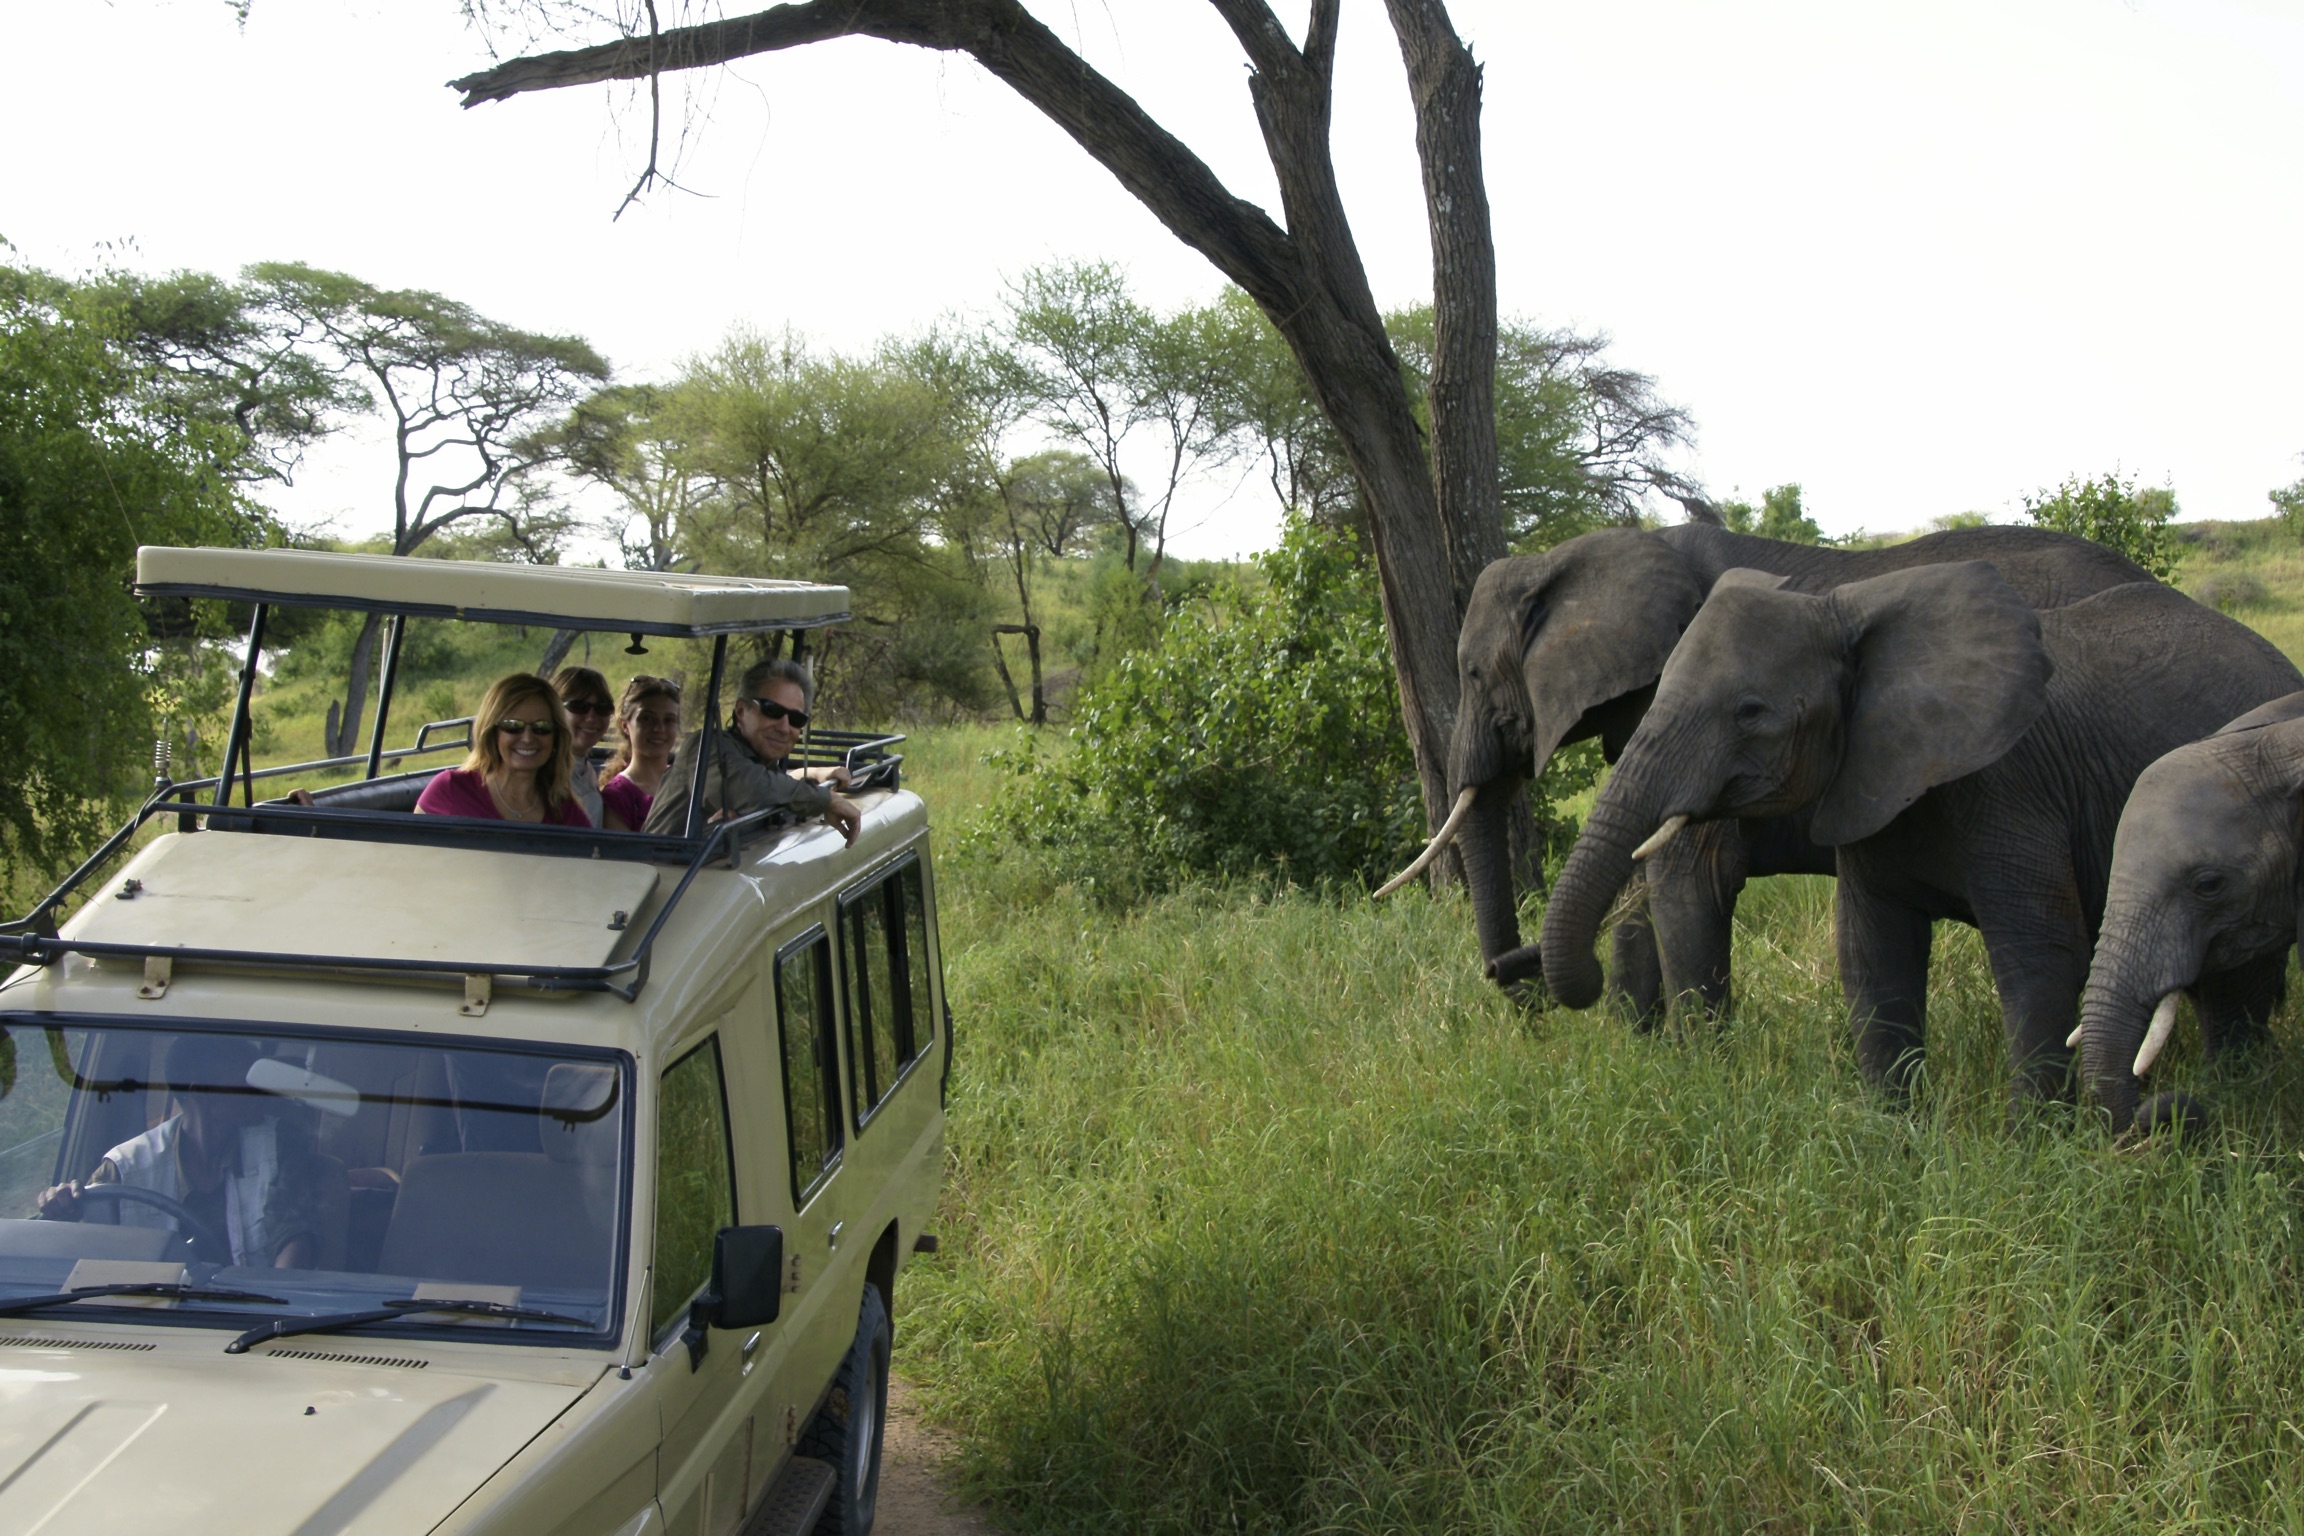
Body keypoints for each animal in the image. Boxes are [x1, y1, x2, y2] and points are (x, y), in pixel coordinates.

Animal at [1392, 518, 2154, 1023]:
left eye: (1471, 673)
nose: (1506, 978)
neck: (1575, 554)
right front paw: (1639, 1047)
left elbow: (1682, 871)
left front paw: (1690, 1072)